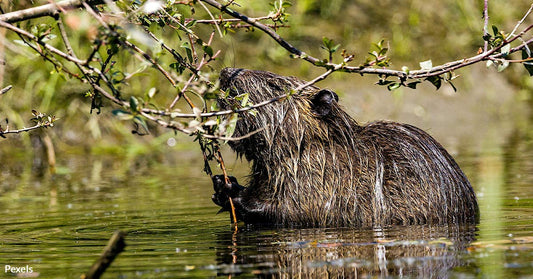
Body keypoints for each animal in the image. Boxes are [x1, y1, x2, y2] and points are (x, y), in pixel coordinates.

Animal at [211, 67, 478, 228]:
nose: (226, 72)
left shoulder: (325, 180)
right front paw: (222, 183)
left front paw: (233, 193)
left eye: (274, 85)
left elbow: (297, 211)